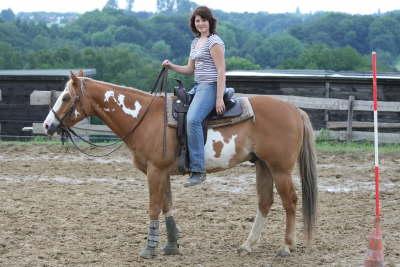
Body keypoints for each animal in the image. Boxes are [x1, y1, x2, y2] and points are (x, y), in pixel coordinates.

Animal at [43, 71, 318, 260]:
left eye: (66, 97)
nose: (47, 125)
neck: (144, 118)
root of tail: (295, 110)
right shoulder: (162, 172)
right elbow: (167, 206)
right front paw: (171, 245)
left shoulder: (155, 171)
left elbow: (154, 207)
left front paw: (149, 248)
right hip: (263, 166)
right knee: (265, 202)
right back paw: (248, 245)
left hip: (280, 169)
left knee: (290, 201)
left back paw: (286, 247)